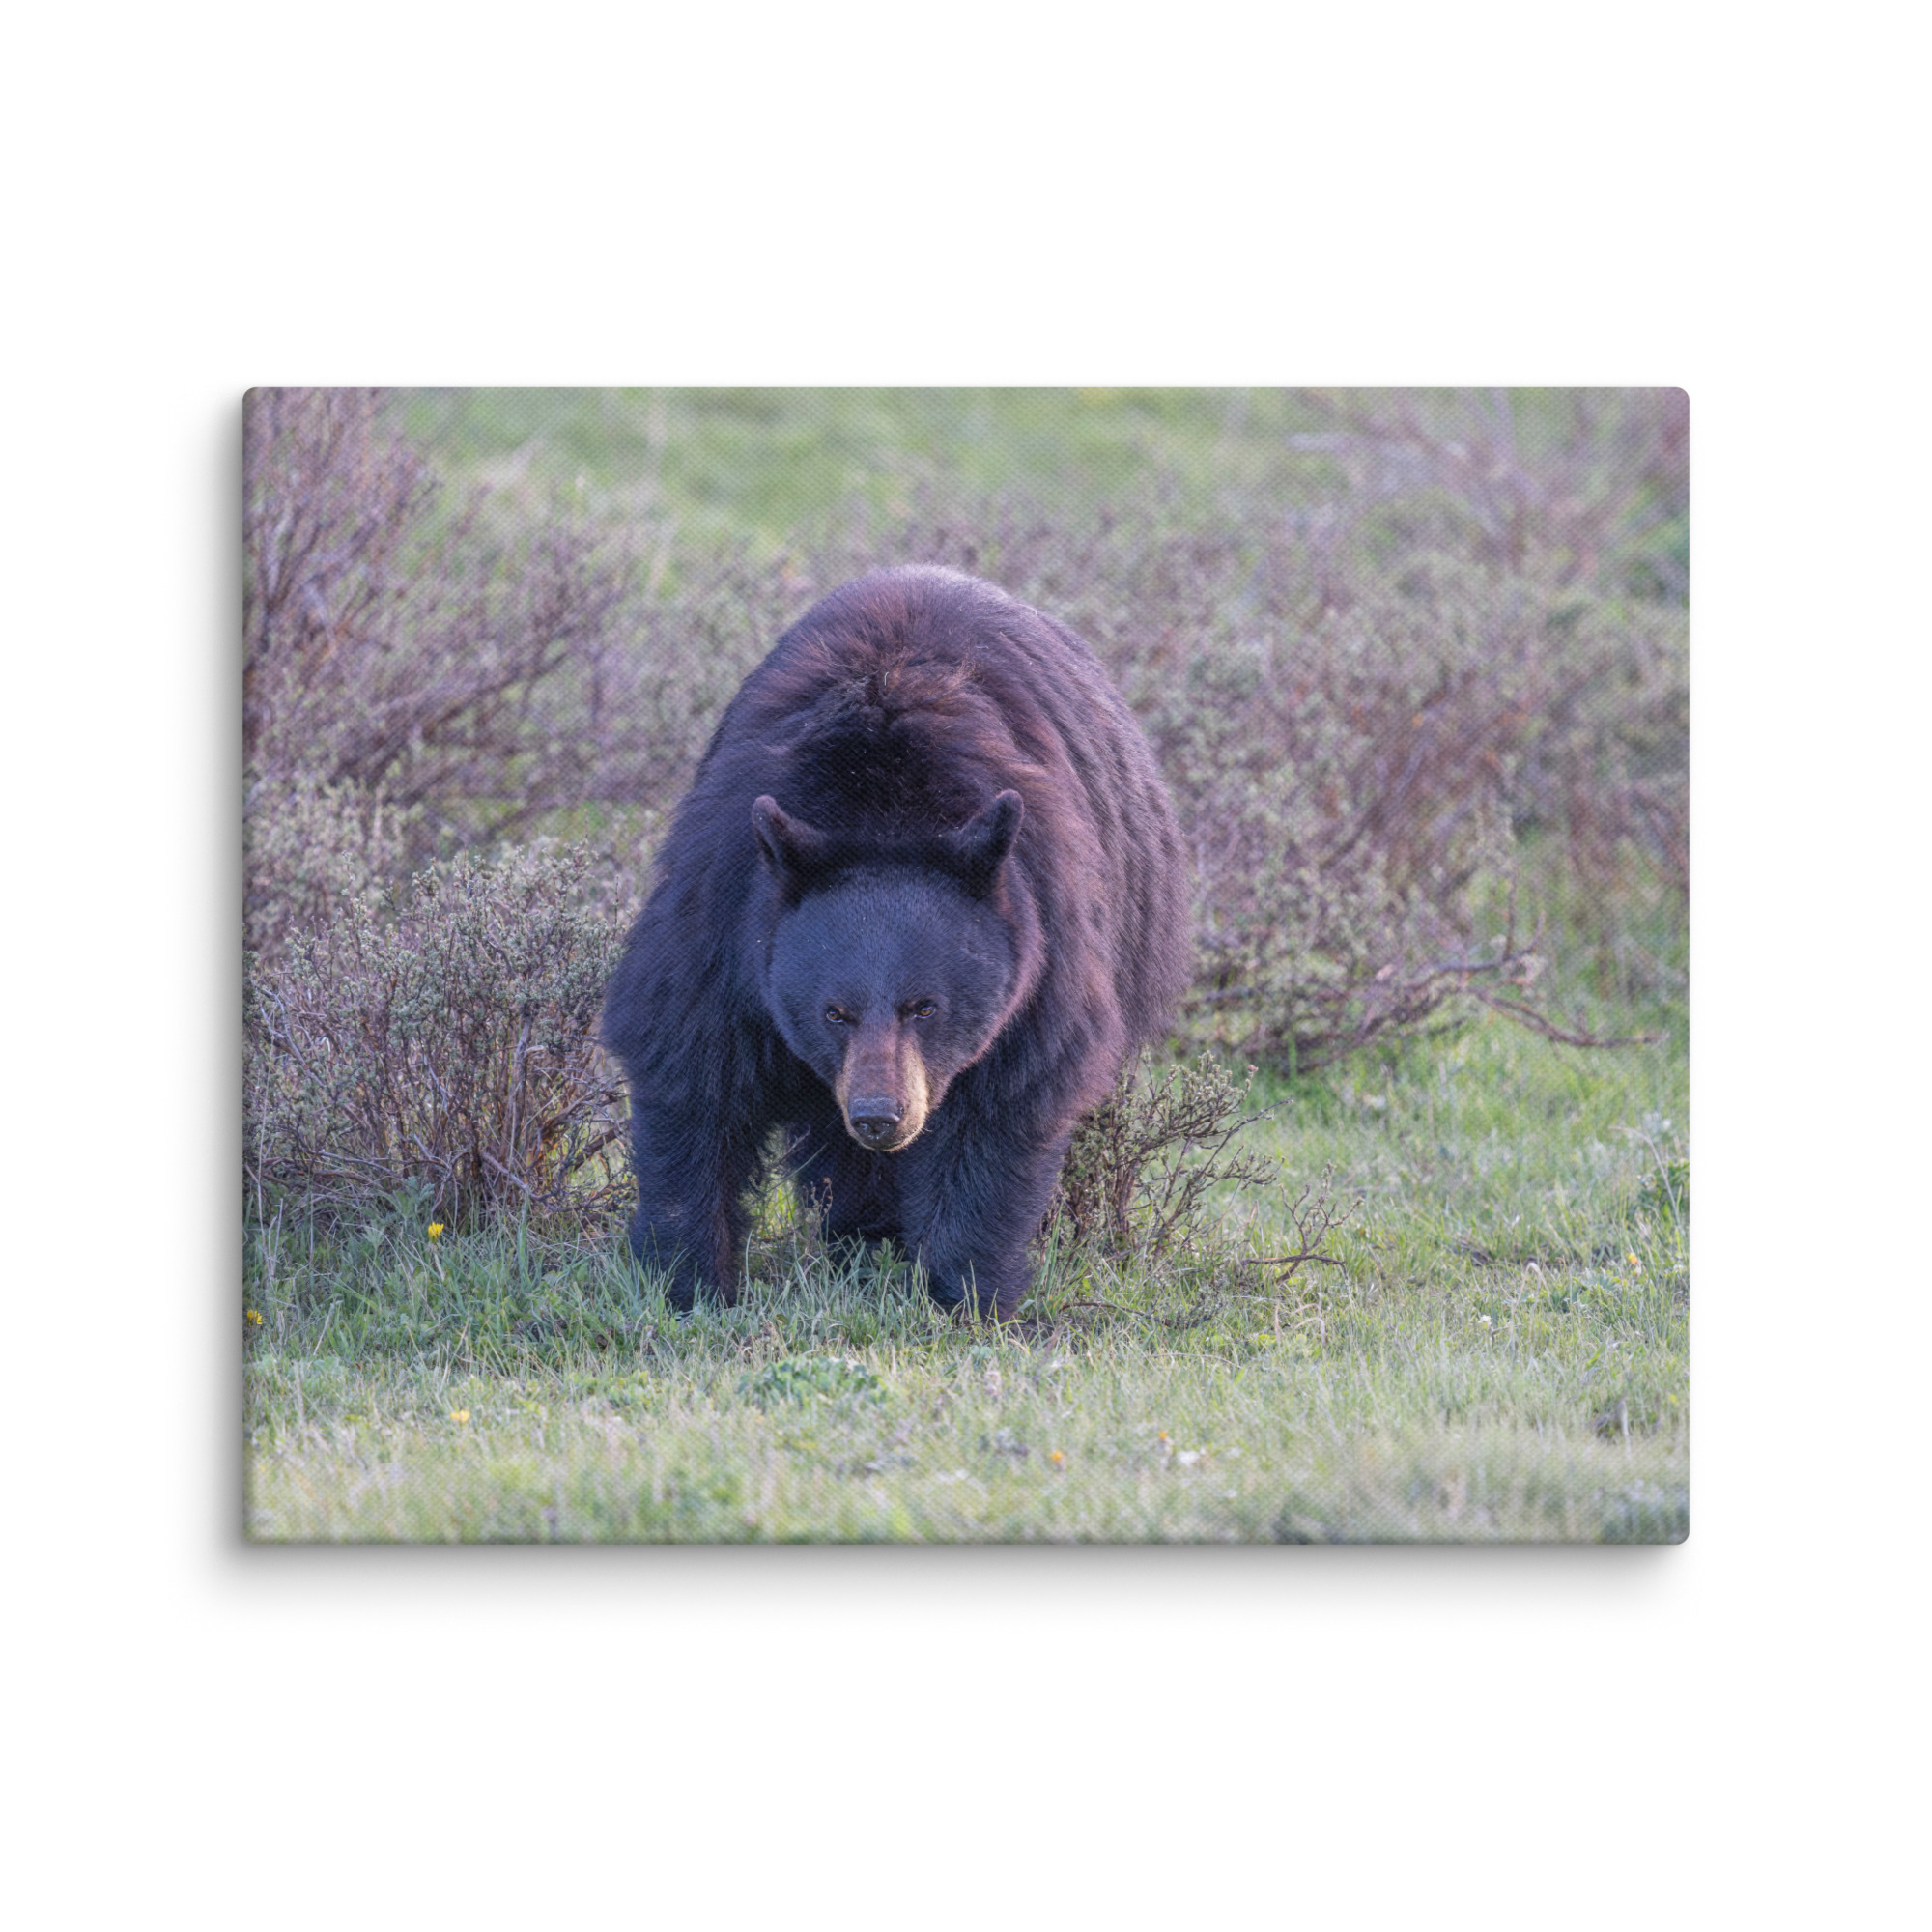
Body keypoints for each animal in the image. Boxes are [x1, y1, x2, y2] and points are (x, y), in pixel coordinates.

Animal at [602, 565, 1191, 1320]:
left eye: (925, 1006)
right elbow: (691, 1069)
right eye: (833, 1012)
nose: (881, 1117)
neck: (882, 807)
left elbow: (1002, 1107)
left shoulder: (1043, 937)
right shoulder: (726, 911)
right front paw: (688, 1281)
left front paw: (967, 1293)